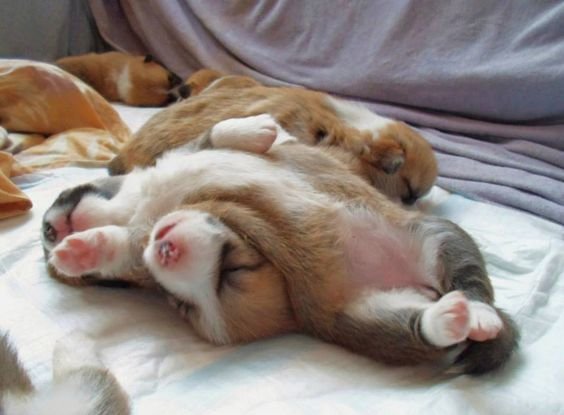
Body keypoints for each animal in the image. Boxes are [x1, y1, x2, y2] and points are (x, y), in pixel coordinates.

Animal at [43, 114, 520, 376]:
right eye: (106, 284)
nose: (49, 235)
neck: (144, 205)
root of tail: (418, 286)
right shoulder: (141, 244)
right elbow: (118, 246)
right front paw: (80, 252)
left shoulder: (192, 151)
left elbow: (221, 132)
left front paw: (262, 129)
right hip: (365, 316)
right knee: (417, 329)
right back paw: (452, 318)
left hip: (438, 239)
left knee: (473, 283)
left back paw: (478, 314)